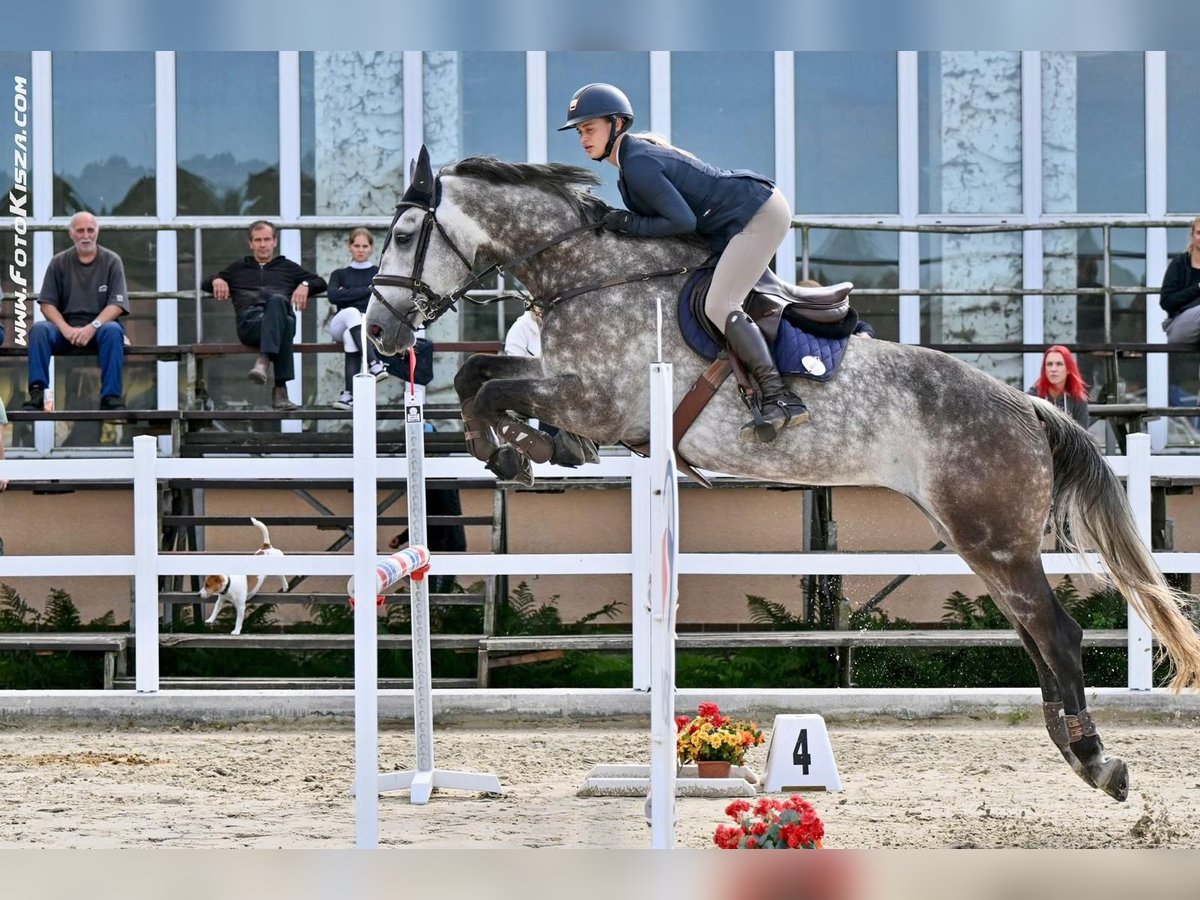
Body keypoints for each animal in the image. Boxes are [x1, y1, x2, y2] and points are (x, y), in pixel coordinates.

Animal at [365, 146, 1200, 803]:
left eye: (404, 235)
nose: (377, 333)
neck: (589, 272)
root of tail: (1029, 406)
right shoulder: (574, 389)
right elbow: (479, 375)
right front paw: (529, 449)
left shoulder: (596, 396)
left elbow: (487, 383)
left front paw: (514, 450)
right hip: (980, 541)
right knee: (1034, 633)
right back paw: (1073, 748)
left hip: (993, 539)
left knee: (1056, 630)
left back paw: (1097, 760)